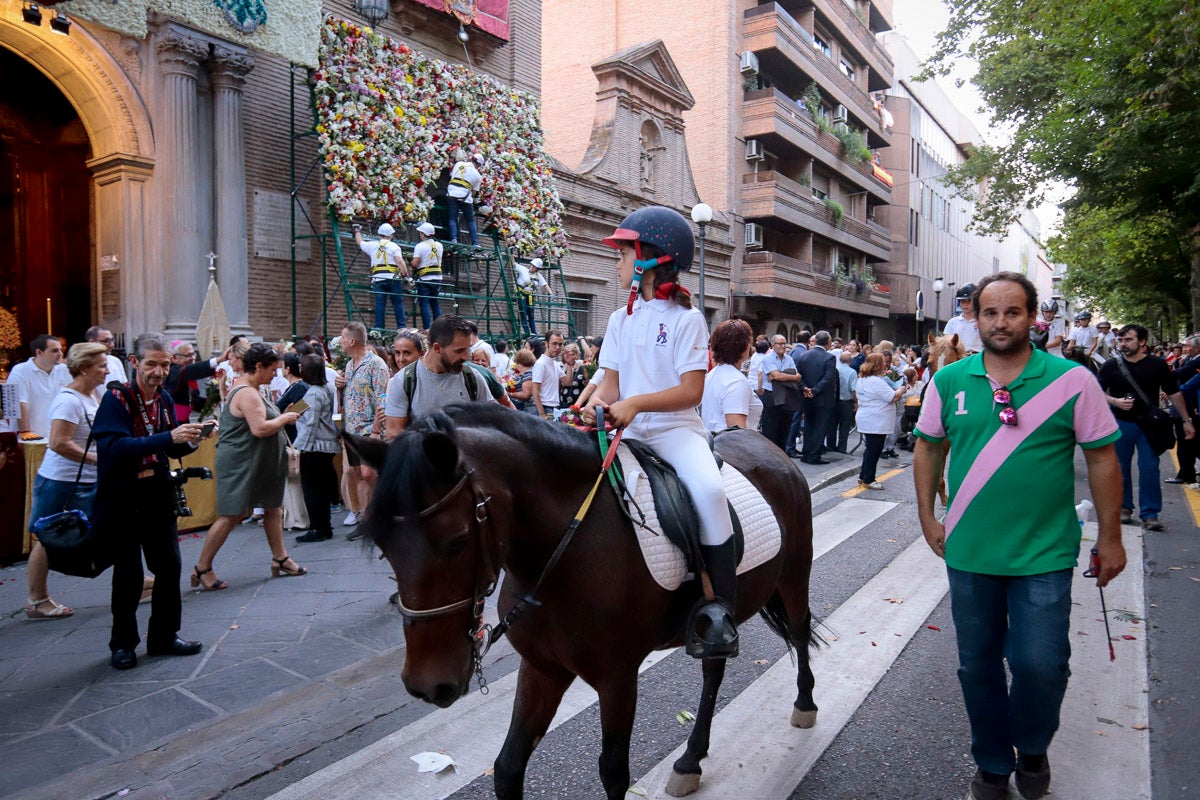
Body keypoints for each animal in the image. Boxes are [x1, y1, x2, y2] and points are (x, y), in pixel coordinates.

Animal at [343, 407, 820, 800]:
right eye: (383, 547)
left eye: (457, 541)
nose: (426, 684)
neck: (563, 552)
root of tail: (769, 445)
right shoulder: (543, 669)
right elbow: (507, 767)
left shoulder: (617, 678)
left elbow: (613, 772)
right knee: (714, 669)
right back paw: (689, 761)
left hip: (795, 575)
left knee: (798, 632)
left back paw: (805, 705)